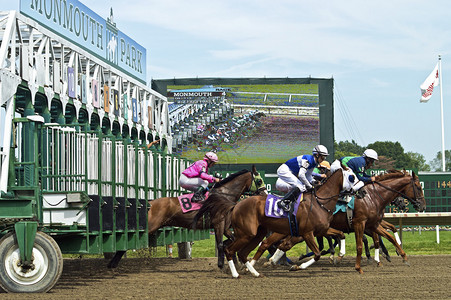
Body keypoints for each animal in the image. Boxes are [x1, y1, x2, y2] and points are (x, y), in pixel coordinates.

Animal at [107, 166, 266, 268]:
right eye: (259, 181)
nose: (264, 194)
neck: (224, 195)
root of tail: (150, 203)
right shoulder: (218, 224)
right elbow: (222, 243)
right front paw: (222, 264)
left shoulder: (225, 226)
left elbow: (230, 241)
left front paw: (235, 262)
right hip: (150, 225)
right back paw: (112, 263)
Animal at [198, 168, 360, 278]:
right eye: (352, 177)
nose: (361, 191)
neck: (319, 202)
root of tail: (235, 205)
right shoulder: (307, 233)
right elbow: (317, 254)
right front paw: (297, 267)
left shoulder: (322, 230)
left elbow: (340, 235)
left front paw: (340, 256)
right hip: (246, 234)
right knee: (229, 249)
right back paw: (236, 274)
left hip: (256, 234)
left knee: (245, 251)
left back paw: (255, 272)